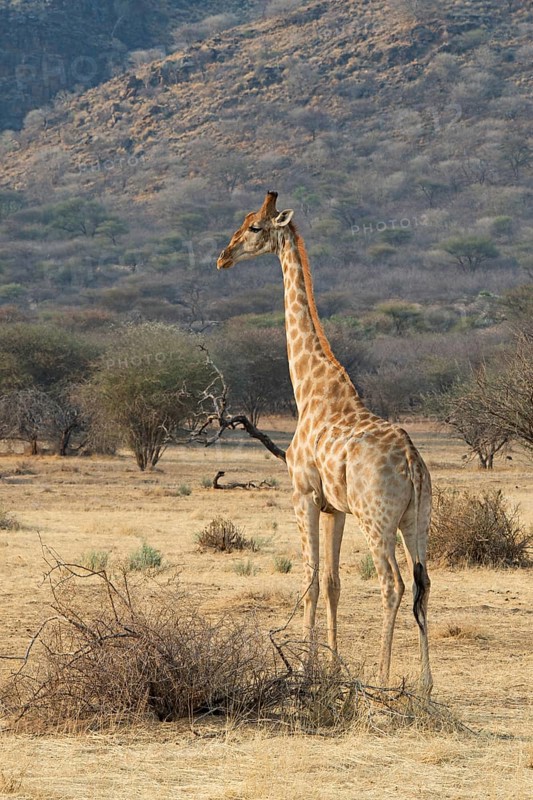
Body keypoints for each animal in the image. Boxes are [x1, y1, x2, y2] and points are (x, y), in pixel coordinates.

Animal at [217, 191, 433, 694]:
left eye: (254, 227)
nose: (223, 257)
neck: (310, 391)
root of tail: (413, 463)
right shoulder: (336, 508)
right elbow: (334, 583)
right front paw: (333, 667)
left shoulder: (303, 495)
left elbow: (311, 581)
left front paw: (307, 669)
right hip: (418, 521)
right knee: (423, 586)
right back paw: (427, 685)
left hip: (378, 521)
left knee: (392, 584)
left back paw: (383, 680)